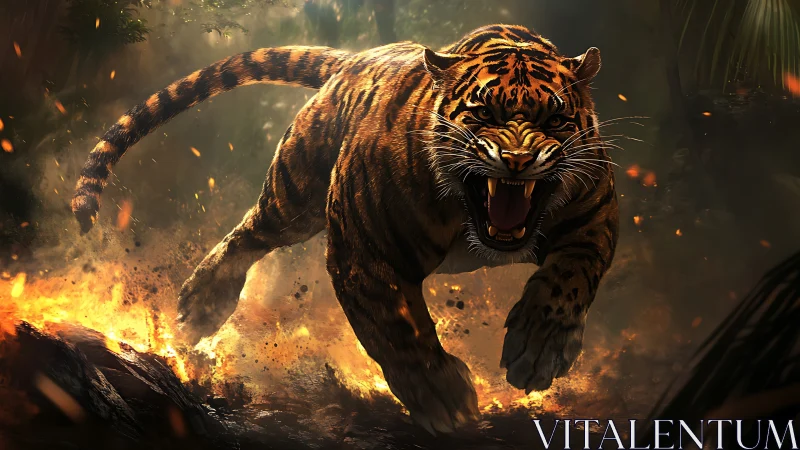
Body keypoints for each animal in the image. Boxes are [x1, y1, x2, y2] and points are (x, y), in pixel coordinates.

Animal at [71, 24, 619, 434]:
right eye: (482, 113)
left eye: (556, 119)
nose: (518, 160)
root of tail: (357, 59)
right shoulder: (362, 250)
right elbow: (398, 326)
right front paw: (442, 397)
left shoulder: (595, 217)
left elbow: (568, 282)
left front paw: (539, 351)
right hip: (296, 194)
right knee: (250, 233)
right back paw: (201, 304)